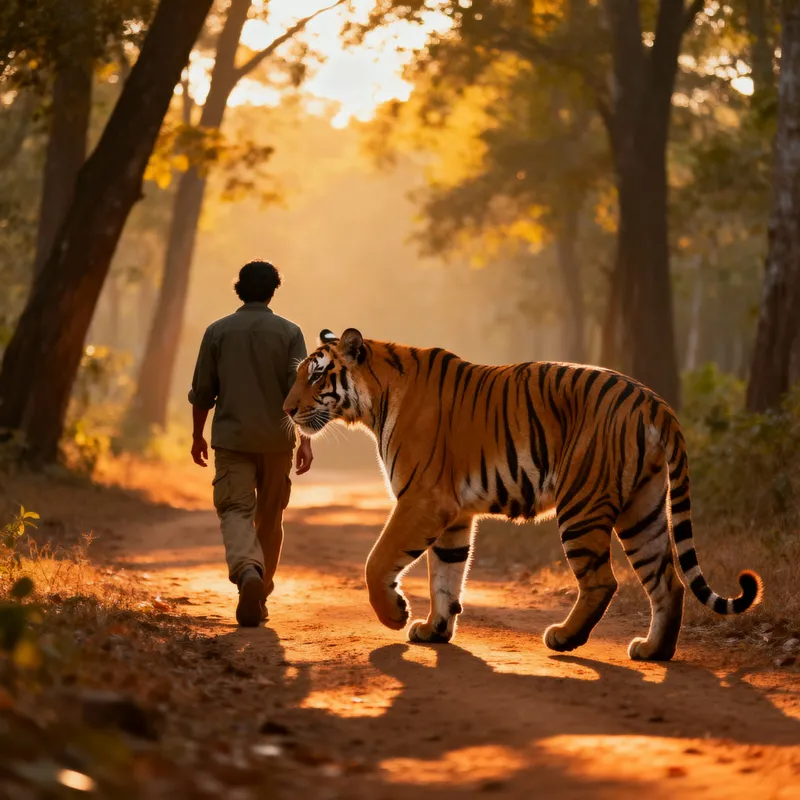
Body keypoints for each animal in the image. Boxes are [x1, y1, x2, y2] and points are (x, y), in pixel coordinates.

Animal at [283, 328, 762, 661]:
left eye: (318, 375)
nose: (287, 409)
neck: (374, 402)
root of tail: (653, 401)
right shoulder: (454, 514)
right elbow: (446, 574)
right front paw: (434, 629)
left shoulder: (422, 499)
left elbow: (377, 561)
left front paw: (395, 614)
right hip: (642, 509)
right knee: (668, 582)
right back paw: (652, 651)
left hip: (582, 504)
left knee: (602, 581)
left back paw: (565, 637)